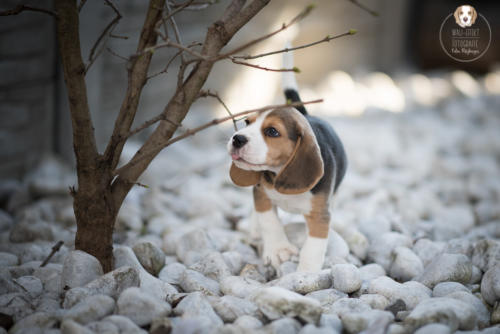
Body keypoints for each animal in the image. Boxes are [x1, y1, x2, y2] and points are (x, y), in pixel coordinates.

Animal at [228, 51, 348, 272]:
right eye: (247, 122)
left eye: (272, 131)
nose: (237, 139)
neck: (278, 172)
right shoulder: (262, 196)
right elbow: (270, 222)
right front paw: (278, 250)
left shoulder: (320, 214)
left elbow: (314, 245)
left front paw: (306, 273)